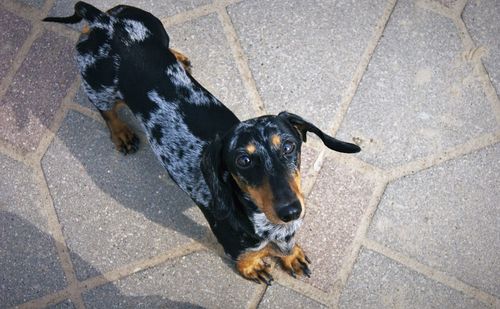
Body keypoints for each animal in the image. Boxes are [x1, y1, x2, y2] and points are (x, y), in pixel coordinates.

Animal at [44, 1, 360, 284]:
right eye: (243, 160)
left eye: (289, 146)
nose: (290, 210)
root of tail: (103, 21)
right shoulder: (231, 235)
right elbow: (246, 253)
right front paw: (253, 266)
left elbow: (286, 244)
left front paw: (291, 255)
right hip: (98, 89)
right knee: (107, 111)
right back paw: (121, 132)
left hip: (155, 26)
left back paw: (178, 58)